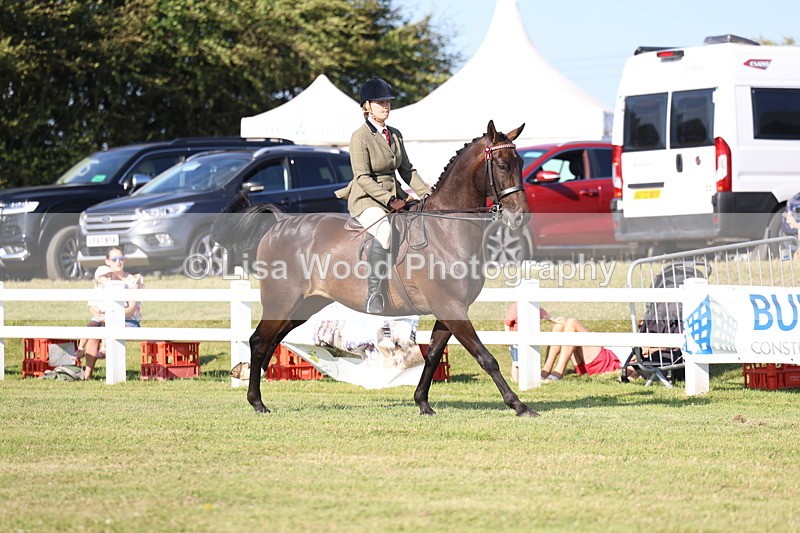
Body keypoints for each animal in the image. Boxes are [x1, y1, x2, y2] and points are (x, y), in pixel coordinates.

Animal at [212, 120, 538, 417]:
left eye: (521, 163)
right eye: (502, 164)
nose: (521, 217)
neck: (446, 229)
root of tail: (280, 223)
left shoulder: (451, 310)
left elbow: (432, 355)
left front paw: (422, 403)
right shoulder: (451, 307)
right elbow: (485, 357)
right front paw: (520, 406)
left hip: (304, 305)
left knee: (271, 341)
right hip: (282, 301)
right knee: (259, 341)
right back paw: (257, 402)